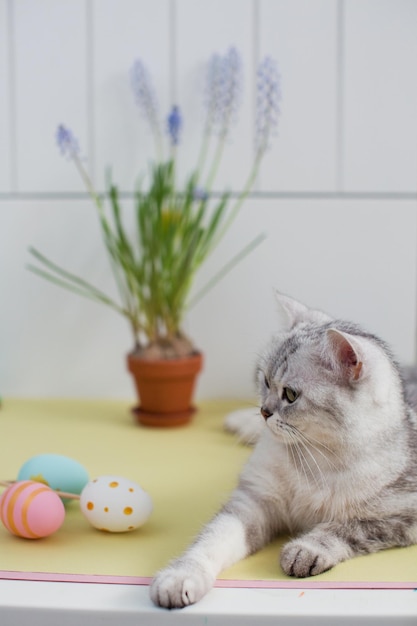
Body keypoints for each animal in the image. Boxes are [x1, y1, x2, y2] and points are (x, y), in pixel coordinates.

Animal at [151, 294, 416, 608]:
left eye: (290, 395)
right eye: (265, 380)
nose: (264, 412)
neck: (314, 460)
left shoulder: (401, 517)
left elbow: (346, 527)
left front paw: (306, 550)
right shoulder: (253, 502)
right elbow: (211, 541)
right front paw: (181, 576)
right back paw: (239, 422)